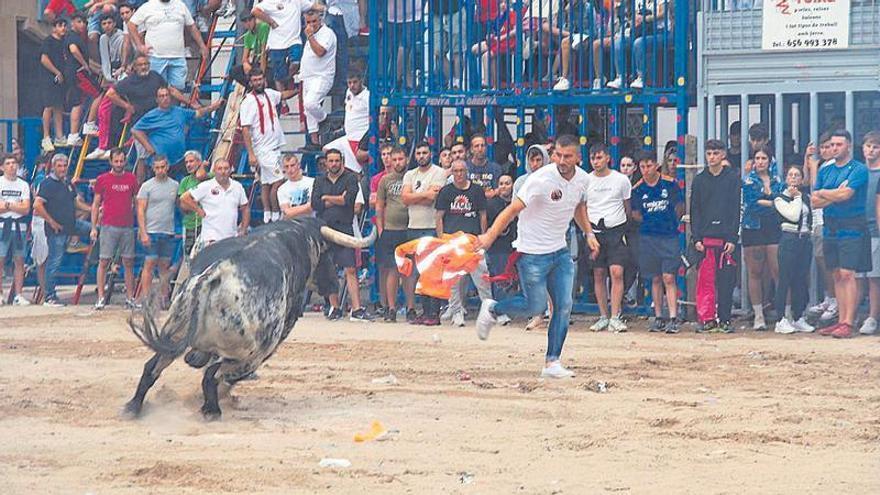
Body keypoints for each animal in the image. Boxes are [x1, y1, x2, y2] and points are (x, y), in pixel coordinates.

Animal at [124, 219, 374, 420]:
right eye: (328, 255)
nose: (333, 284)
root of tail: (213, 275)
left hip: (174, 332)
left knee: (153, 367)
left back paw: (133, 407)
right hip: (253, 350)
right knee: (214, 375)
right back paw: (212, 409)